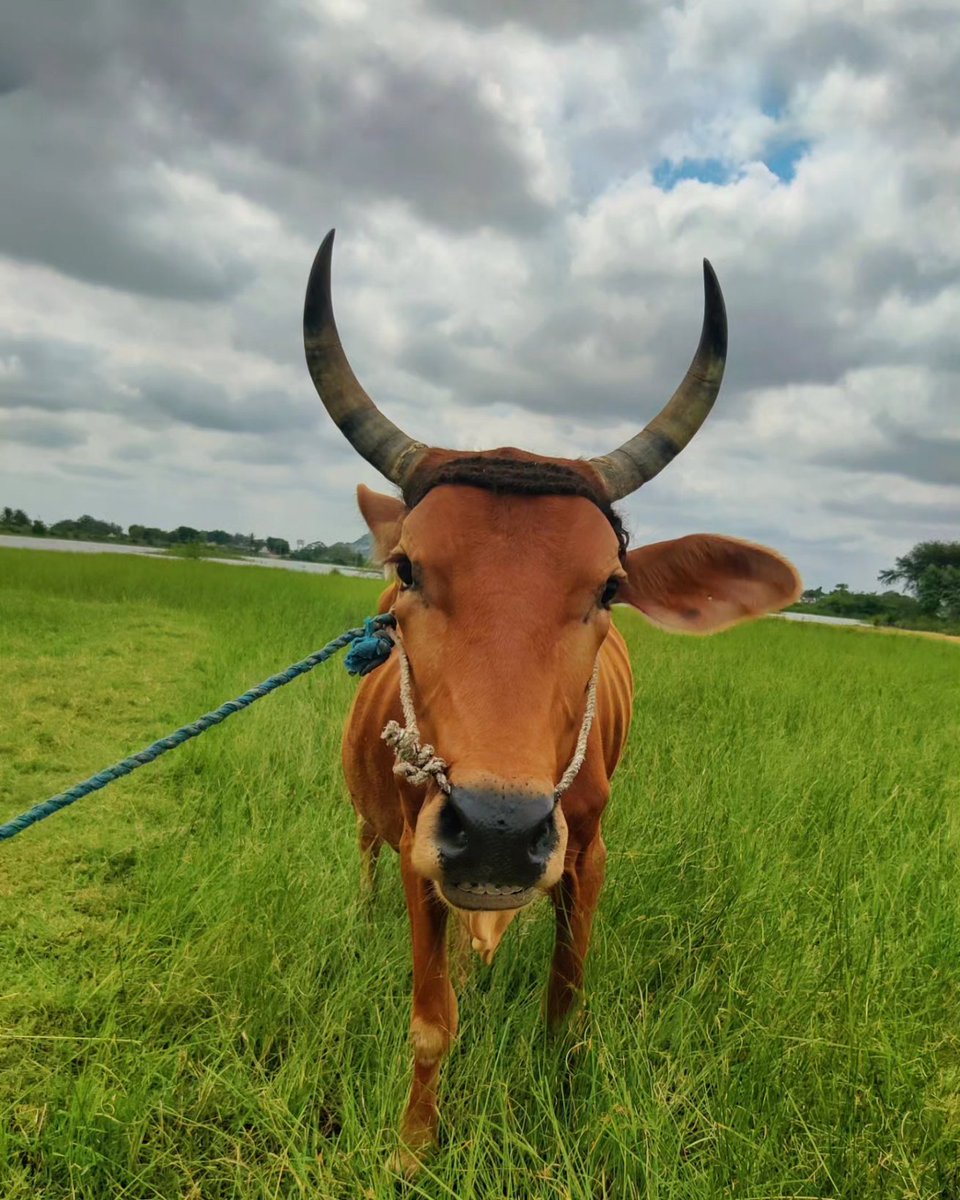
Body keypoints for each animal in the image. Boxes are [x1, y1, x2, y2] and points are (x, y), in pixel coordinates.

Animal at [303, 229, 796, 1166]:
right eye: (407, 569)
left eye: (608, 587)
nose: (498, 831)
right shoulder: (425, 855)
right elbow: (431, 1021)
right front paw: (413, 1148)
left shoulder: (586, 854)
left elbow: (564, 1005)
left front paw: (564, 1100)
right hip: (378, 829)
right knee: (365, 858)